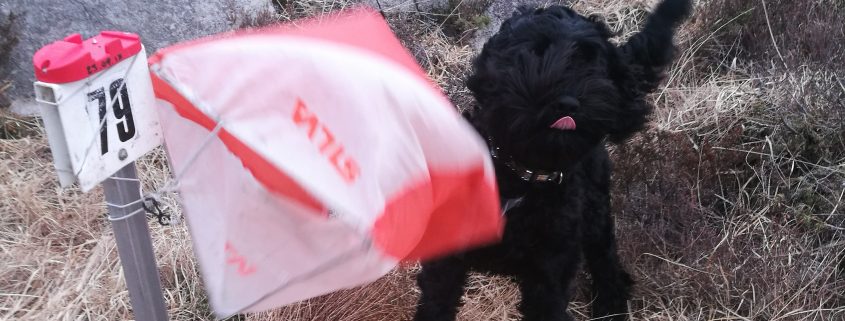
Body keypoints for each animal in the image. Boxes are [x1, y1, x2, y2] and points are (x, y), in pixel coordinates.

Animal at [412, 0, 688, 320]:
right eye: (534, 52)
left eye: (591, 61)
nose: (568, 103)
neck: (520, 178)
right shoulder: (445, 264)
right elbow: (436, 303)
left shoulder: (550, 274)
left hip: (597, 217)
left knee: (607, 266)